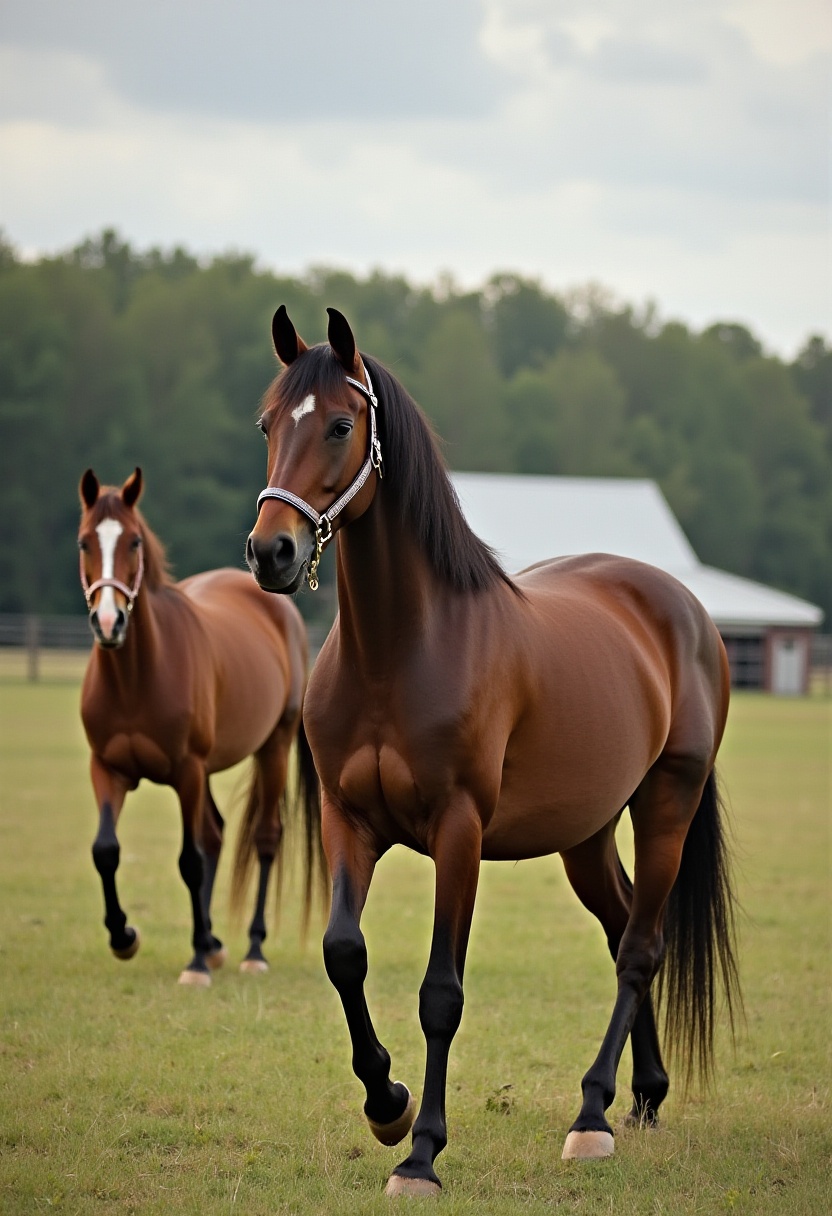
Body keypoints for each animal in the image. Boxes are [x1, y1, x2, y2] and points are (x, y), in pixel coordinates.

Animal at [78, 467, 322, 985]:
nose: (109, 621)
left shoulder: (187, 771)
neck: (135, 680)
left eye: (133, 542)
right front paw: (124, 937)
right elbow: (105, 850)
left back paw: (252, 948)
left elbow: (190, 860)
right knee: (215, 833)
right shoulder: (107, 769)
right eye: (85, 541)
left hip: (272, 748)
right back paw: (211, 943)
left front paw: (193, 962)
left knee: (264, 837)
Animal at [245, 307, 740, 1196]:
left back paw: (591, 1115)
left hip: (667, 807)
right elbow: (343, 954)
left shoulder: (459, 833)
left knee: (641, 949)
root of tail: (683, 609)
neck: (400, 650)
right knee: (622, 926)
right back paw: (642, 1096)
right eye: (269, 424)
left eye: (340, 424)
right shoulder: (349, 821)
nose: (272, 552)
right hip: (586, 836)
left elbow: (442, 993)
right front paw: (387, 1102)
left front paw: (421, 1153)